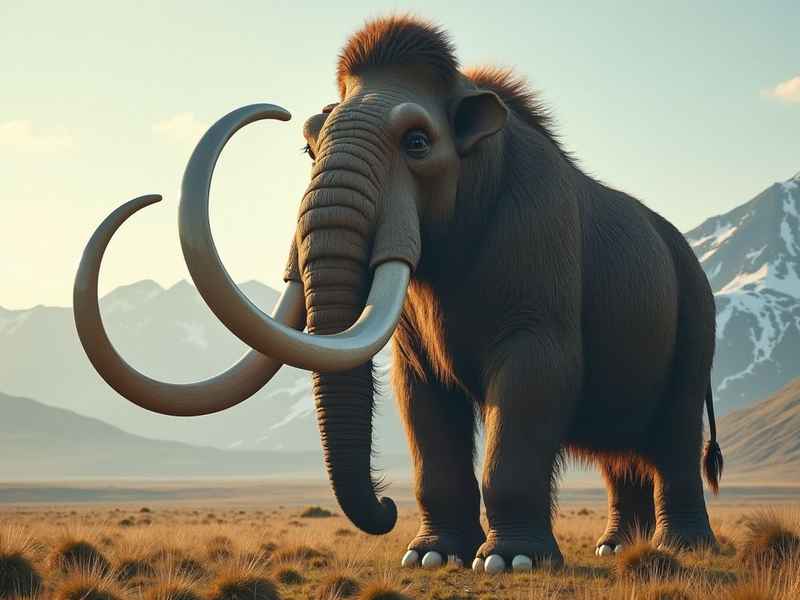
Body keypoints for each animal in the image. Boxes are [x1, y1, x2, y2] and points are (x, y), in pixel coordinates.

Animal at [73, 15, 723, 573]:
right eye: (308, 146)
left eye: (416, 142)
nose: (384, 508)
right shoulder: (414, 336)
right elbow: (420, 399)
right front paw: (432, 556)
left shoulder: (540, 264)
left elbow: (533, 384)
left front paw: (509, 561)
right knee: (623, 457)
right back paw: (615, 549)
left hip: (697, 319)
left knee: (674, 438)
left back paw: (685, 548)